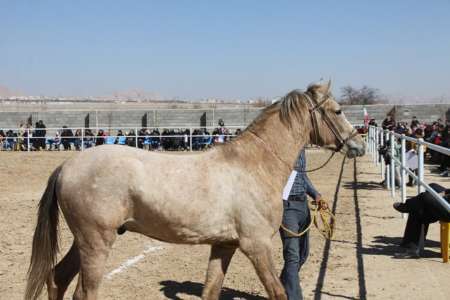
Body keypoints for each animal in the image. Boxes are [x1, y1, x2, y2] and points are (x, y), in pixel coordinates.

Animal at [25, 81, 366, 300]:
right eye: (337, 111)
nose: (359, 145)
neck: (253, 165)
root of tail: (67, 166)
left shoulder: (224, 245)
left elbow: (211, 290)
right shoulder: (256, 246)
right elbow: (278, 292)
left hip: (83, 240)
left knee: (57, 279)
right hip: (96, 242)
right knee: (83, 292)